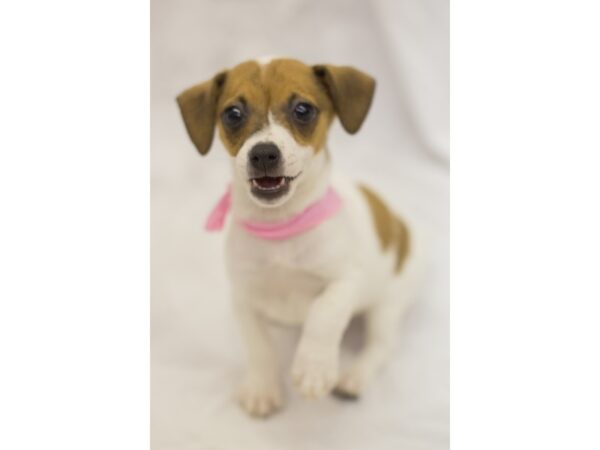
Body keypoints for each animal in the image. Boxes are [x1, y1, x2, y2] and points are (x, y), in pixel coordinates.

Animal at [178, 58, 420, 416]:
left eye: (303, 110)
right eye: (233, 114)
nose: (263, 153)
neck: (281, 226)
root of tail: (401, 226)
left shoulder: (346, 281)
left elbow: (324, 314)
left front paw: (313, 370)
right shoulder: (243, 296)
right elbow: (258, 345)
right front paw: (262, 388)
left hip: (388, 306)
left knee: (381, 346)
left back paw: (354, 377)